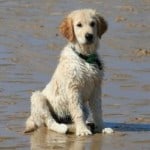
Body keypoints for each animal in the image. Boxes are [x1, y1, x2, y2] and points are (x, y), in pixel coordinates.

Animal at [24, 8, 113, 137]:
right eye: (79, 25)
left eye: (93, 24)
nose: (89, 36)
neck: (85, 57)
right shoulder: (73, 89)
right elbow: (77, 112)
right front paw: (82, 130)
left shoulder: (96, 88)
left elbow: (97, 111)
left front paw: (101, 127)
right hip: (38, 98)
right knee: (49, 122)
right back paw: (63, 128)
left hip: (84, 106)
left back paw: (83, 125)